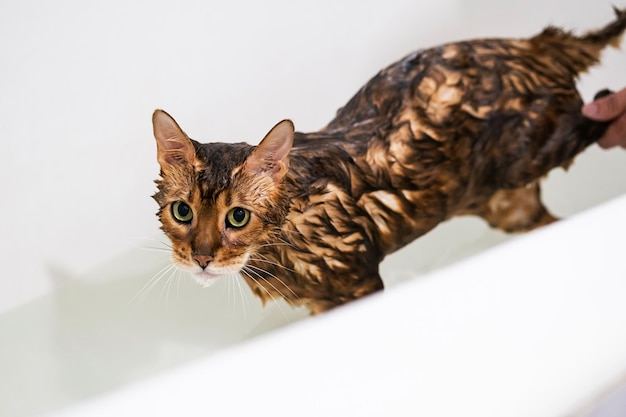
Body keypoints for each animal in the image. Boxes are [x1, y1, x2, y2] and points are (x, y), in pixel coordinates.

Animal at [152, 7, 624, 312]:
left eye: (237, 217)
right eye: (182, 212)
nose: (202, 257)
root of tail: (532, 46)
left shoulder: (358, 284)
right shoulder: (318, 304)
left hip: (536, 147)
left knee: (591, 118)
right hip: (509, 205)